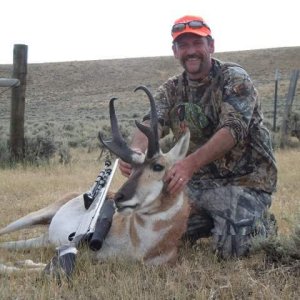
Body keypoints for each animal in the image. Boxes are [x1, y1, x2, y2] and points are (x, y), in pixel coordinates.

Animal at [0, 85, 191, 274]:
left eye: (158, 166)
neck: (138, 245)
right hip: (34, 217)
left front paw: (22, 263)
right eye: (132, 168)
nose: (118, 198)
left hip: (43, 239)